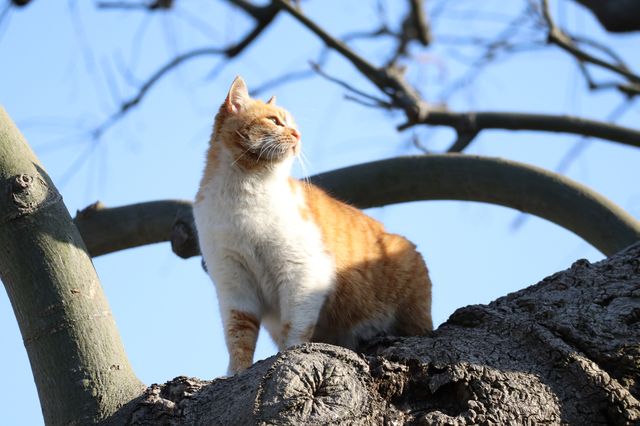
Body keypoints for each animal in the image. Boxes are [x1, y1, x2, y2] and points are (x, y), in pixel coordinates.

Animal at [191, 77, 430, 376]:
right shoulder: (233, 283)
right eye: (274, 121)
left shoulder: (302, 273)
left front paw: (289, 354)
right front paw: (236, 371)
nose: (297, 134)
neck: (244, 194)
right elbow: (239, 334)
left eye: (293, 124)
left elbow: (295, 326)